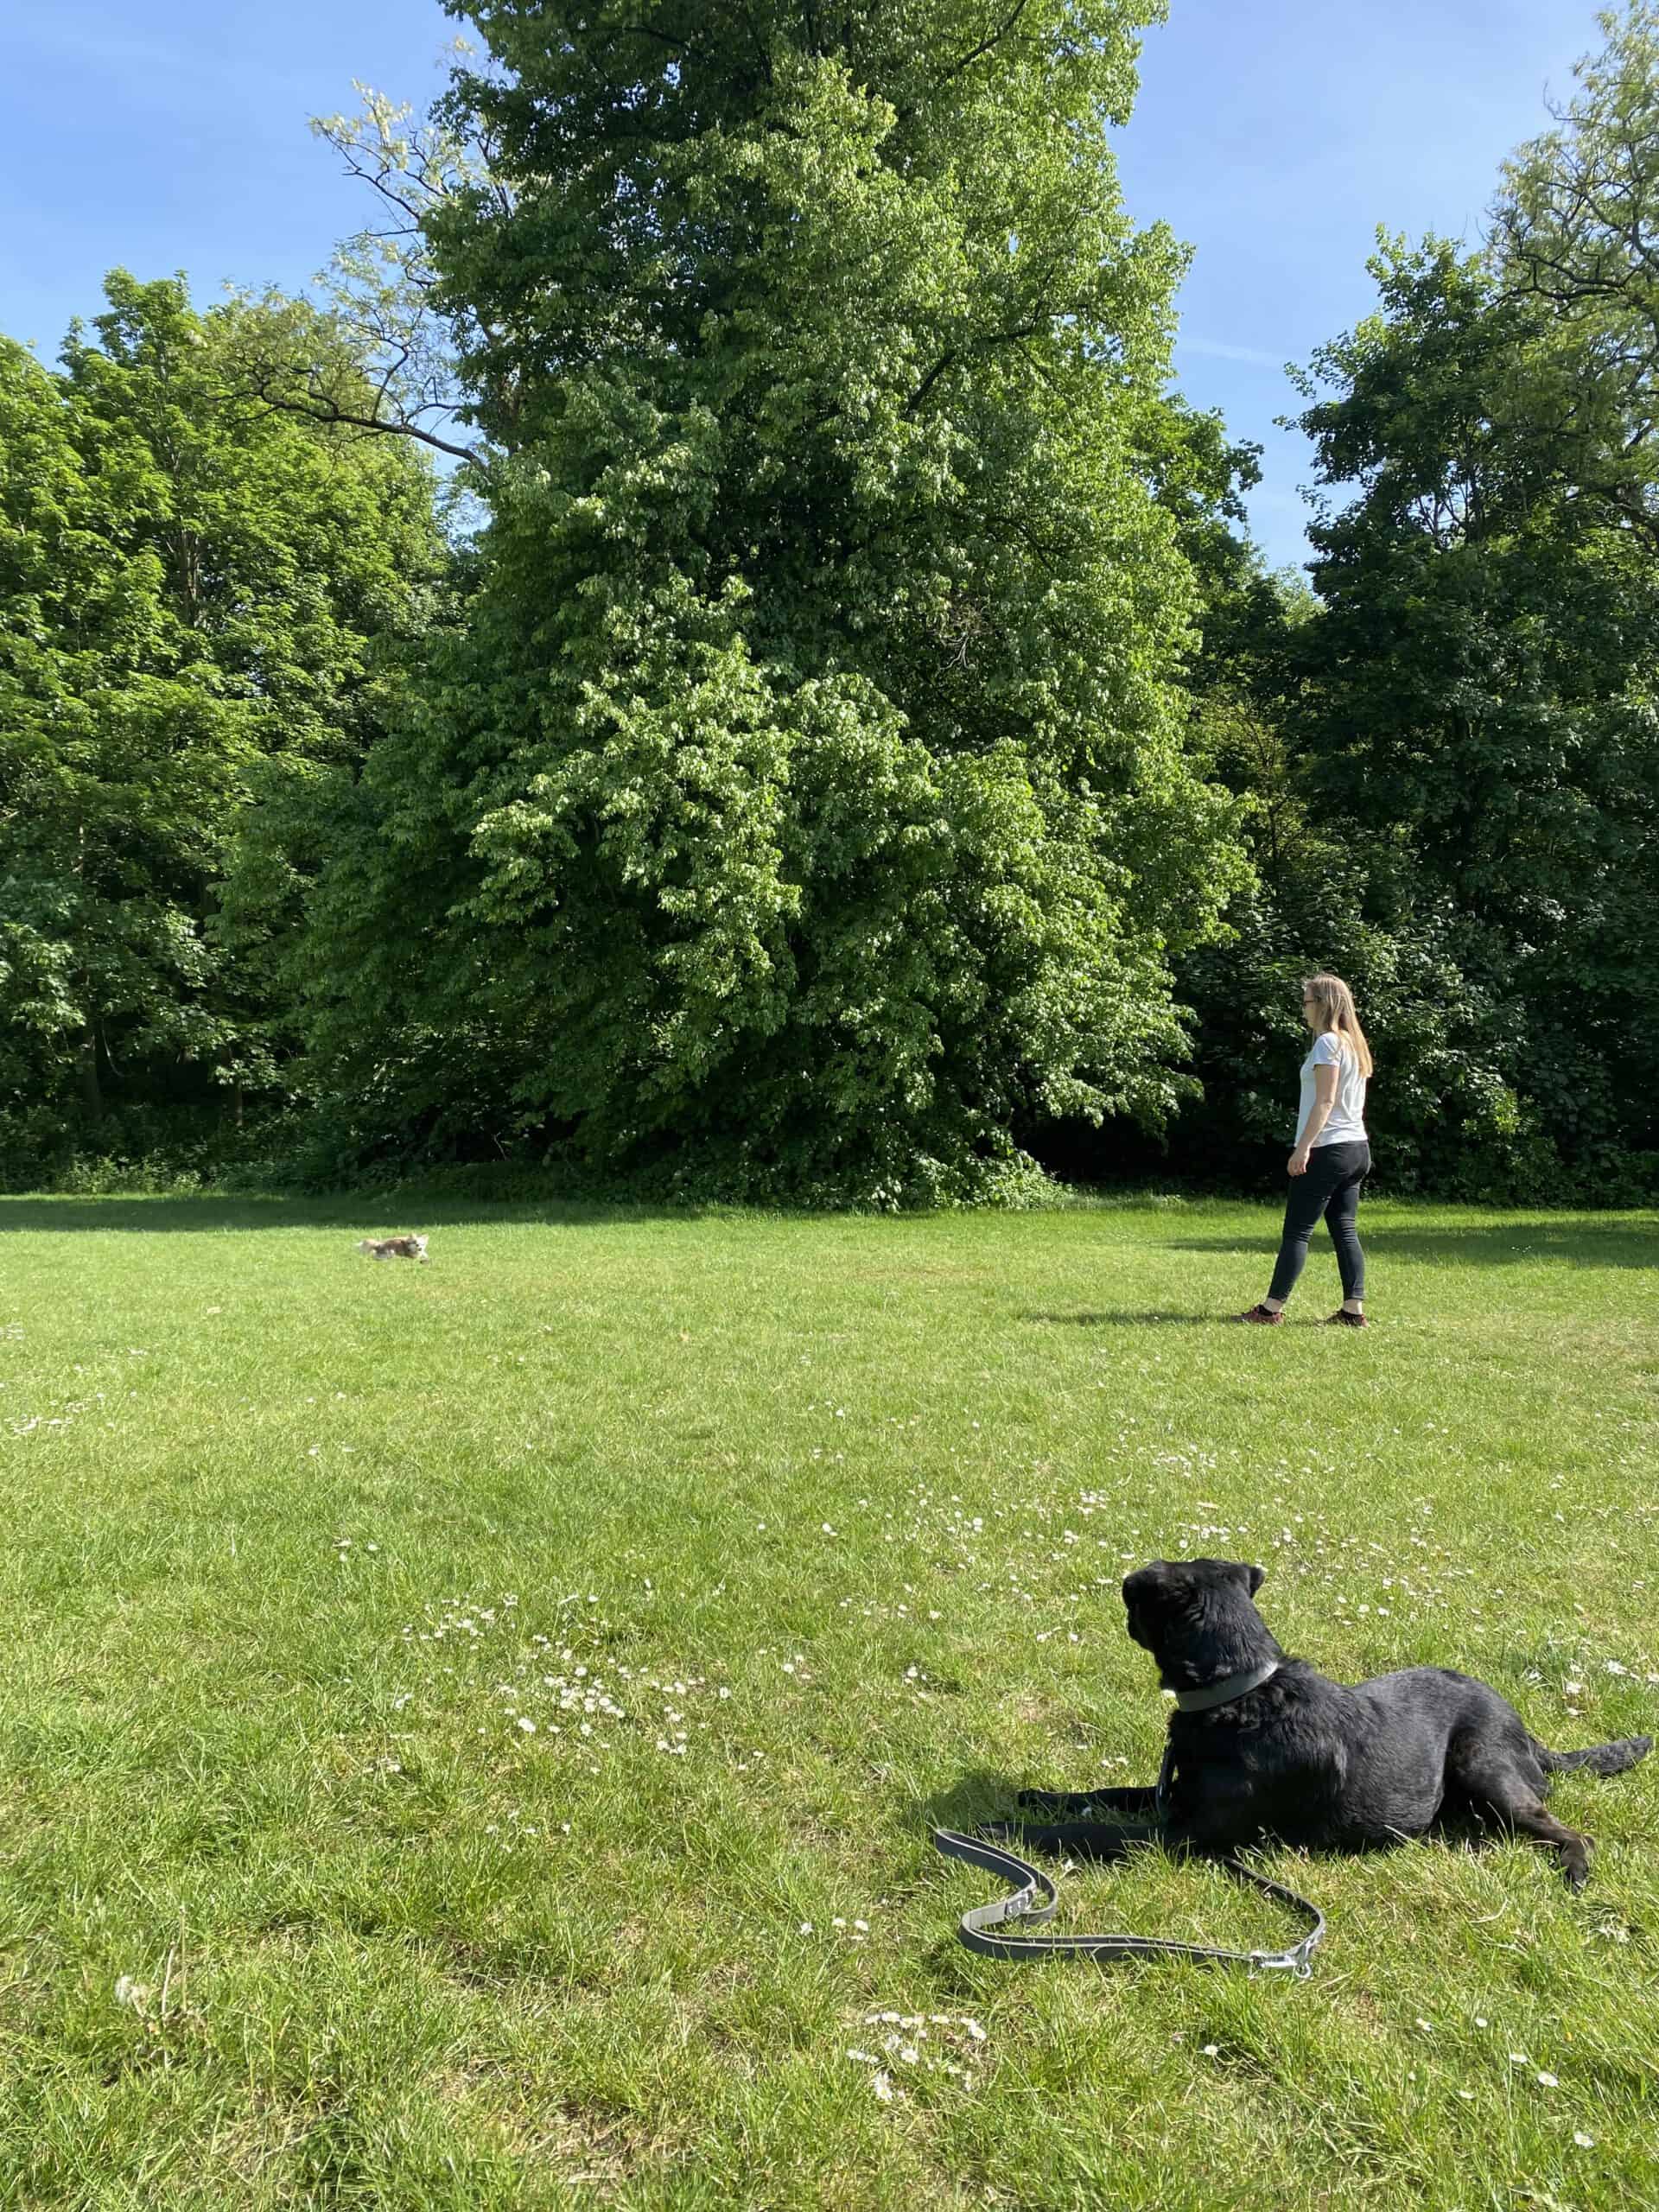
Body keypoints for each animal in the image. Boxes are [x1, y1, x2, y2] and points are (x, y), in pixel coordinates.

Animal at [1000, 1557, 1654, 1902]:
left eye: (1136, 1603)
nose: (1123, 1591)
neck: (1242, 1692)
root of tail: (1526, 1730)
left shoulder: (1184, 1836)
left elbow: (1093, 1833)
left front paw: (1006, 1830)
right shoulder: (1172, 1796)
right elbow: (1104, 1795)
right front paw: (1035, 1796)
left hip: (1485, 1770)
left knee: (1567, 1830)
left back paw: (1574, 1869)